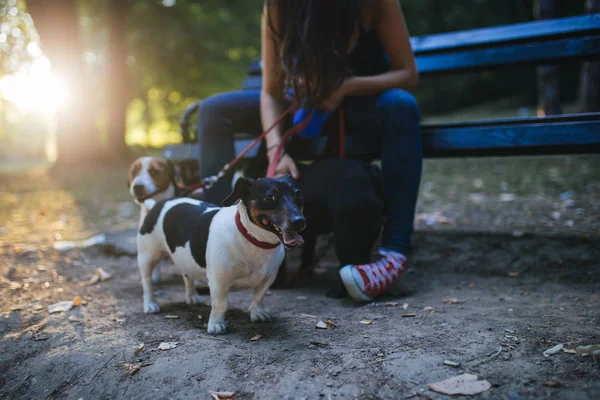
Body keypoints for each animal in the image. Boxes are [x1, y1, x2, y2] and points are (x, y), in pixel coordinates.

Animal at [136, 175, 304, 334]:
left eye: (297, 193)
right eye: (270, 197)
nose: (299, 221)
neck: (252, 239)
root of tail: (157, 204)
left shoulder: (268, 278)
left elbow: (258, 296)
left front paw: (257, 313)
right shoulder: (219, 282)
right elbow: (220, 304)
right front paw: (216, 324)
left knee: (187, 274)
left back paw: (192, 296)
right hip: (147, 256)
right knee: (146, 282)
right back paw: (150, 304)